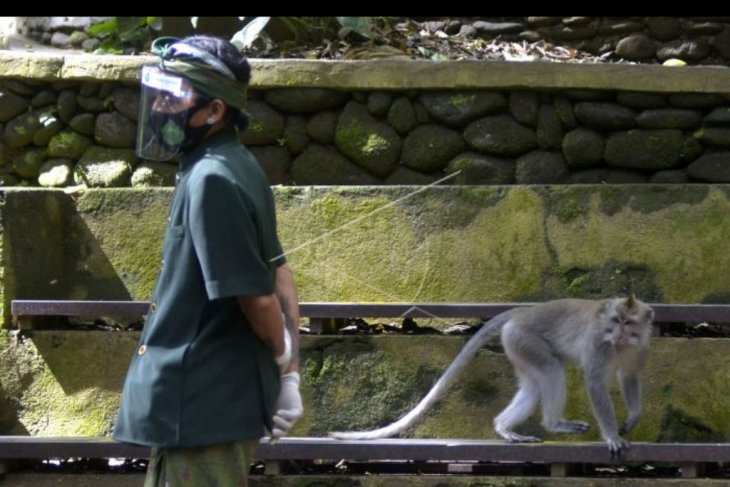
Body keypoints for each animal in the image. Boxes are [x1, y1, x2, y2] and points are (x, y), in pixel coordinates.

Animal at [328, 298, 652, 458]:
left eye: (628, 323)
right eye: (616, 321)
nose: (618, 334)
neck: (620, 343)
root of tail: (520, 314)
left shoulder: (640, 346)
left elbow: (629, 374)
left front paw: (633, 418)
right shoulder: (599, 343)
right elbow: (595, 382)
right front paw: (612, 436)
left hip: (516, 345)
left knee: (535, 384)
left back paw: (505, 428)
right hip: (525, 339)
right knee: (551, 371)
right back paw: (554, 424)